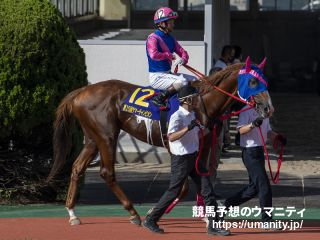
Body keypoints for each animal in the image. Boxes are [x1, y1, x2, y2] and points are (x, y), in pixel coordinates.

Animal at [47, 60, 272, 225]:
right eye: (253, 82)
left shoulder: (203, 145)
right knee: (106, 173)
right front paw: (153, 212)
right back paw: (133, 213)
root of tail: (81, 92)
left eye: (265, 81)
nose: (268, 108)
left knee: (77, 167)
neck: (202, 103)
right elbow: (183, 186)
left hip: (93, 138)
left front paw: (207, 215)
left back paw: (72, 213)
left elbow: (200, 179)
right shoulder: (175, 145)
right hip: (107, 136)